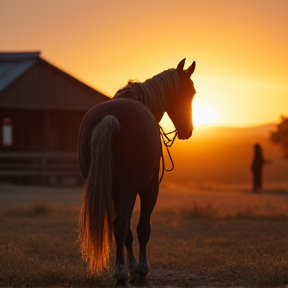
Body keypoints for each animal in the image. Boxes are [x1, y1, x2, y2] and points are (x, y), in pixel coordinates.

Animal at [77, 58, 197, 286]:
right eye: (190, 92)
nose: (188, 130)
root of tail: (110, 118)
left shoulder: (117, 191)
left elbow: (129, 234)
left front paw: (133, 266)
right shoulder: (149, 189)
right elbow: (142, 228)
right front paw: (140, 269)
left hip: (115, 189)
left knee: (120, 226)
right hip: (130, 188)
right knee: (121, 223)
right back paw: (120, 274)